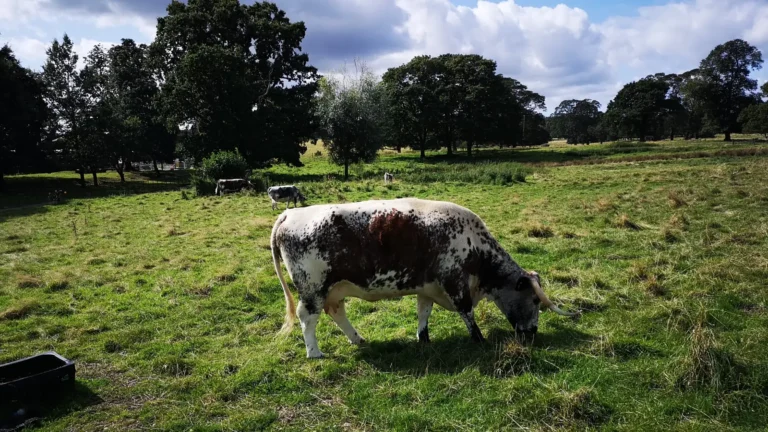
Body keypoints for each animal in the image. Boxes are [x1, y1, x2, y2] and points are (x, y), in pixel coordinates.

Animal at [270, 198, 578, 358]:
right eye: (534, 301)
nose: (533, 332)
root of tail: (290, 213)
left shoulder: (427, 287)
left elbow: (423, 313)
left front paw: (424, 338)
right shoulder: (455, 282)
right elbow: (467, 312)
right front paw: (479, 339)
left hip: (334, 289)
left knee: (337, 312)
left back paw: (358, 339)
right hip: (313, 288)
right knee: (307, 318)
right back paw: (314, 352)